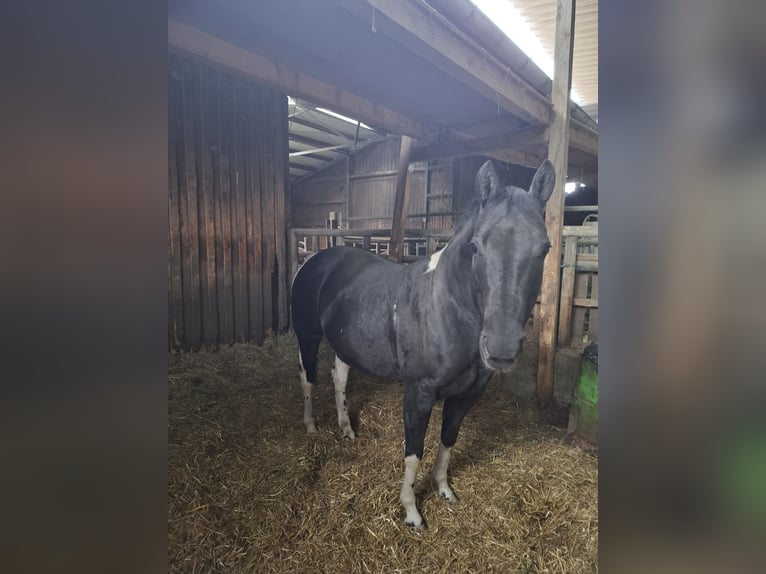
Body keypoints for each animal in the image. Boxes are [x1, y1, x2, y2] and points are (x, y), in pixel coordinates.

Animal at [291, 159, 555, 528]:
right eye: (476, 246)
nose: (501, 349)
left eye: (544, 248)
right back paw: (312, 425)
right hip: (308, 336)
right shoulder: (418, 393)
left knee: (339, 378)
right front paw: (412, 512)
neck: (446, 310)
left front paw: (444, 489)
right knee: (308, 377)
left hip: (345, 345)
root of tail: (315, 259)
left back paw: (346, 430)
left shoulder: (467, 395)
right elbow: (413, 452)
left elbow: (447, 441)